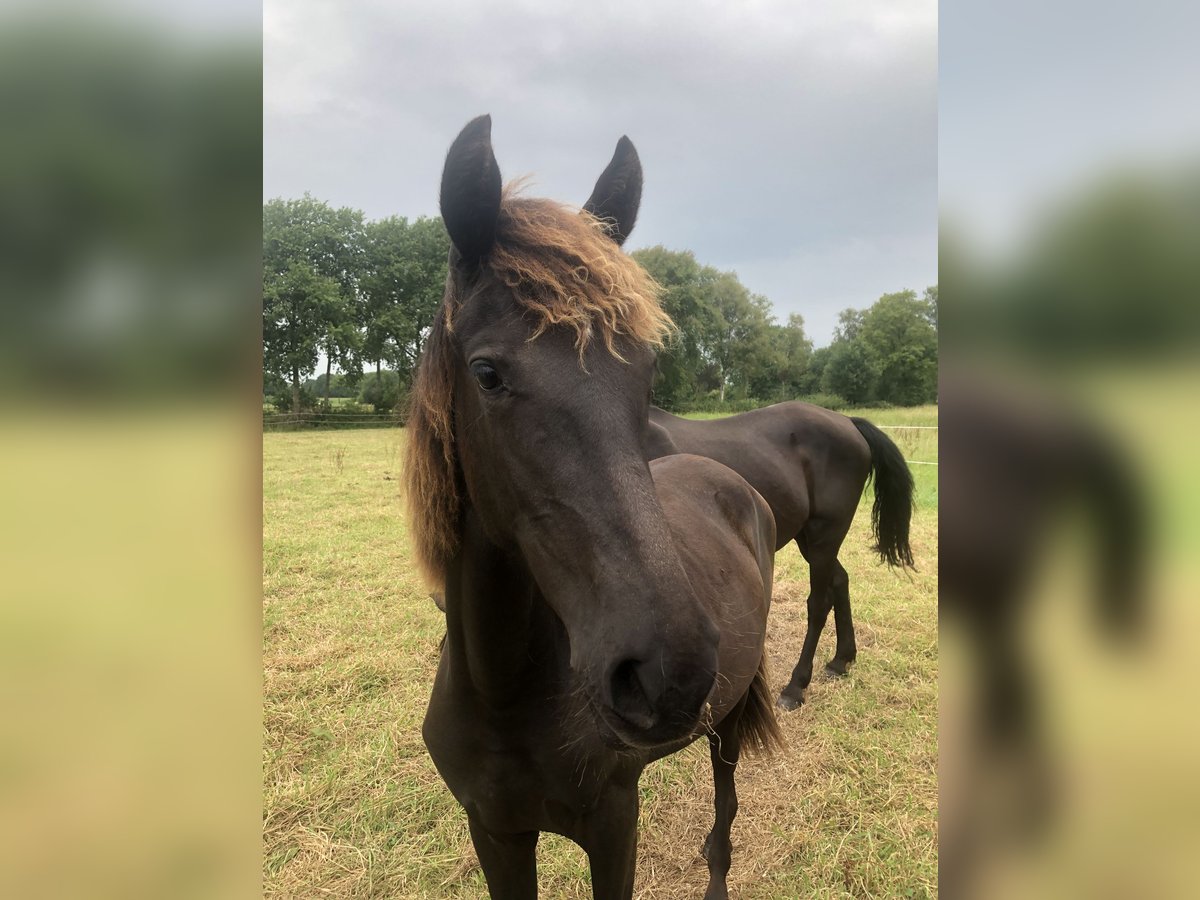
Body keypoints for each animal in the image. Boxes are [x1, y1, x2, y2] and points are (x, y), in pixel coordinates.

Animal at [410, 116, 787, 897]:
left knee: (725, 799)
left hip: (728, 718)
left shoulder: (613, 825)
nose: (667, 673)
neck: (503, 694)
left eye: (646, 370)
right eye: (487, 373)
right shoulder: (495, 833)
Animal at [652, 403, 912, 710]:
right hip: (809, 539)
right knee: (840, 581)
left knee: (819, 604)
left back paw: (795, 687)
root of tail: (847, 422)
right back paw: (841, 661)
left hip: (825, 535)